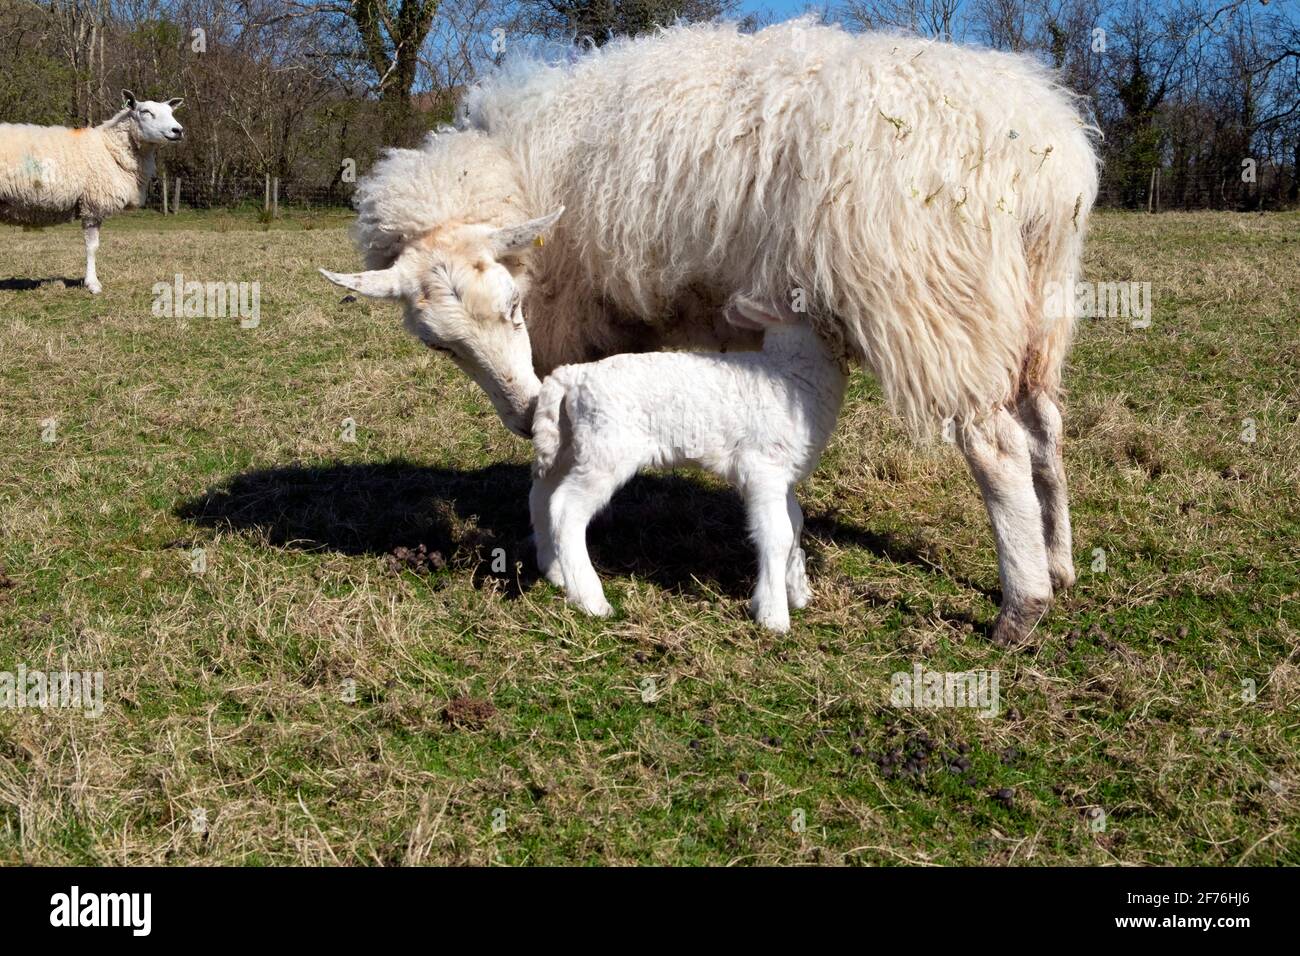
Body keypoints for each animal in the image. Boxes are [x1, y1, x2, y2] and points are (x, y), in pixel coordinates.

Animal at [0, 93, 184, 295]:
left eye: (171, 112)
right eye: (146, 112)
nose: (178, 130)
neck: (109, 148)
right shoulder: (93, 205)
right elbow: (92, 247)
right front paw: (93, 284)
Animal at [527, 303, 842, 632]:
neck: (789, 373)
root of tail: (573, 376)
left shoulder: (784, 473)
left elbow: (795, 524)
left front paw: (798, 592)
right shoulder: (762, 469)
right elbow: (777, 534)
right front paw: (773, 615)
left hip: (569, 444)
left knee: (541, 494)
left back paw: (554, 570)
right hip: (605, 451)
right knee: (566, 508)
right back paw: (590, 600)